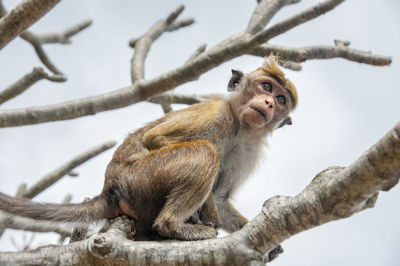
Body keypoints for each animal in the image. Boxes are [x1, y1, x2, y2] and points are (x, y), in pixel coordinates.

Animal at [0, 55, 296, 241]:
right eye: (265, 86)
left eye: (281, 99)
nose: (269, 102)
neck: (240, 127)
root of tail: (110, 188)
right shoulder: (216, 114)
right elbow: (157, 140)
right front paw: (209, 210)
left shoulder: (250, 150)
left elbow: (222, 198)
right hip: (141, 178)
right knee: (204, 151)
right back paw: (173, 226)